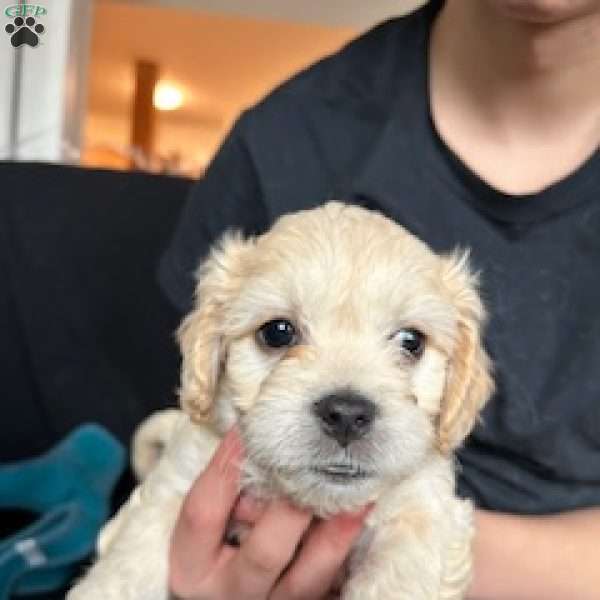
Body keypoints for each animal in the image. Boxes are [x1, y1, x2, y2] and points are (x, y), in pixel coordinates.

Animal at [69, 203, 492, 600]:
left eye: (411, 341)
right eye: (277, 332)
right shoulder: (177, 483)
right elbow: (128, 564)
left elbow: (400, 575)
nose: (346, 414)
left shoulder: (423, 513)